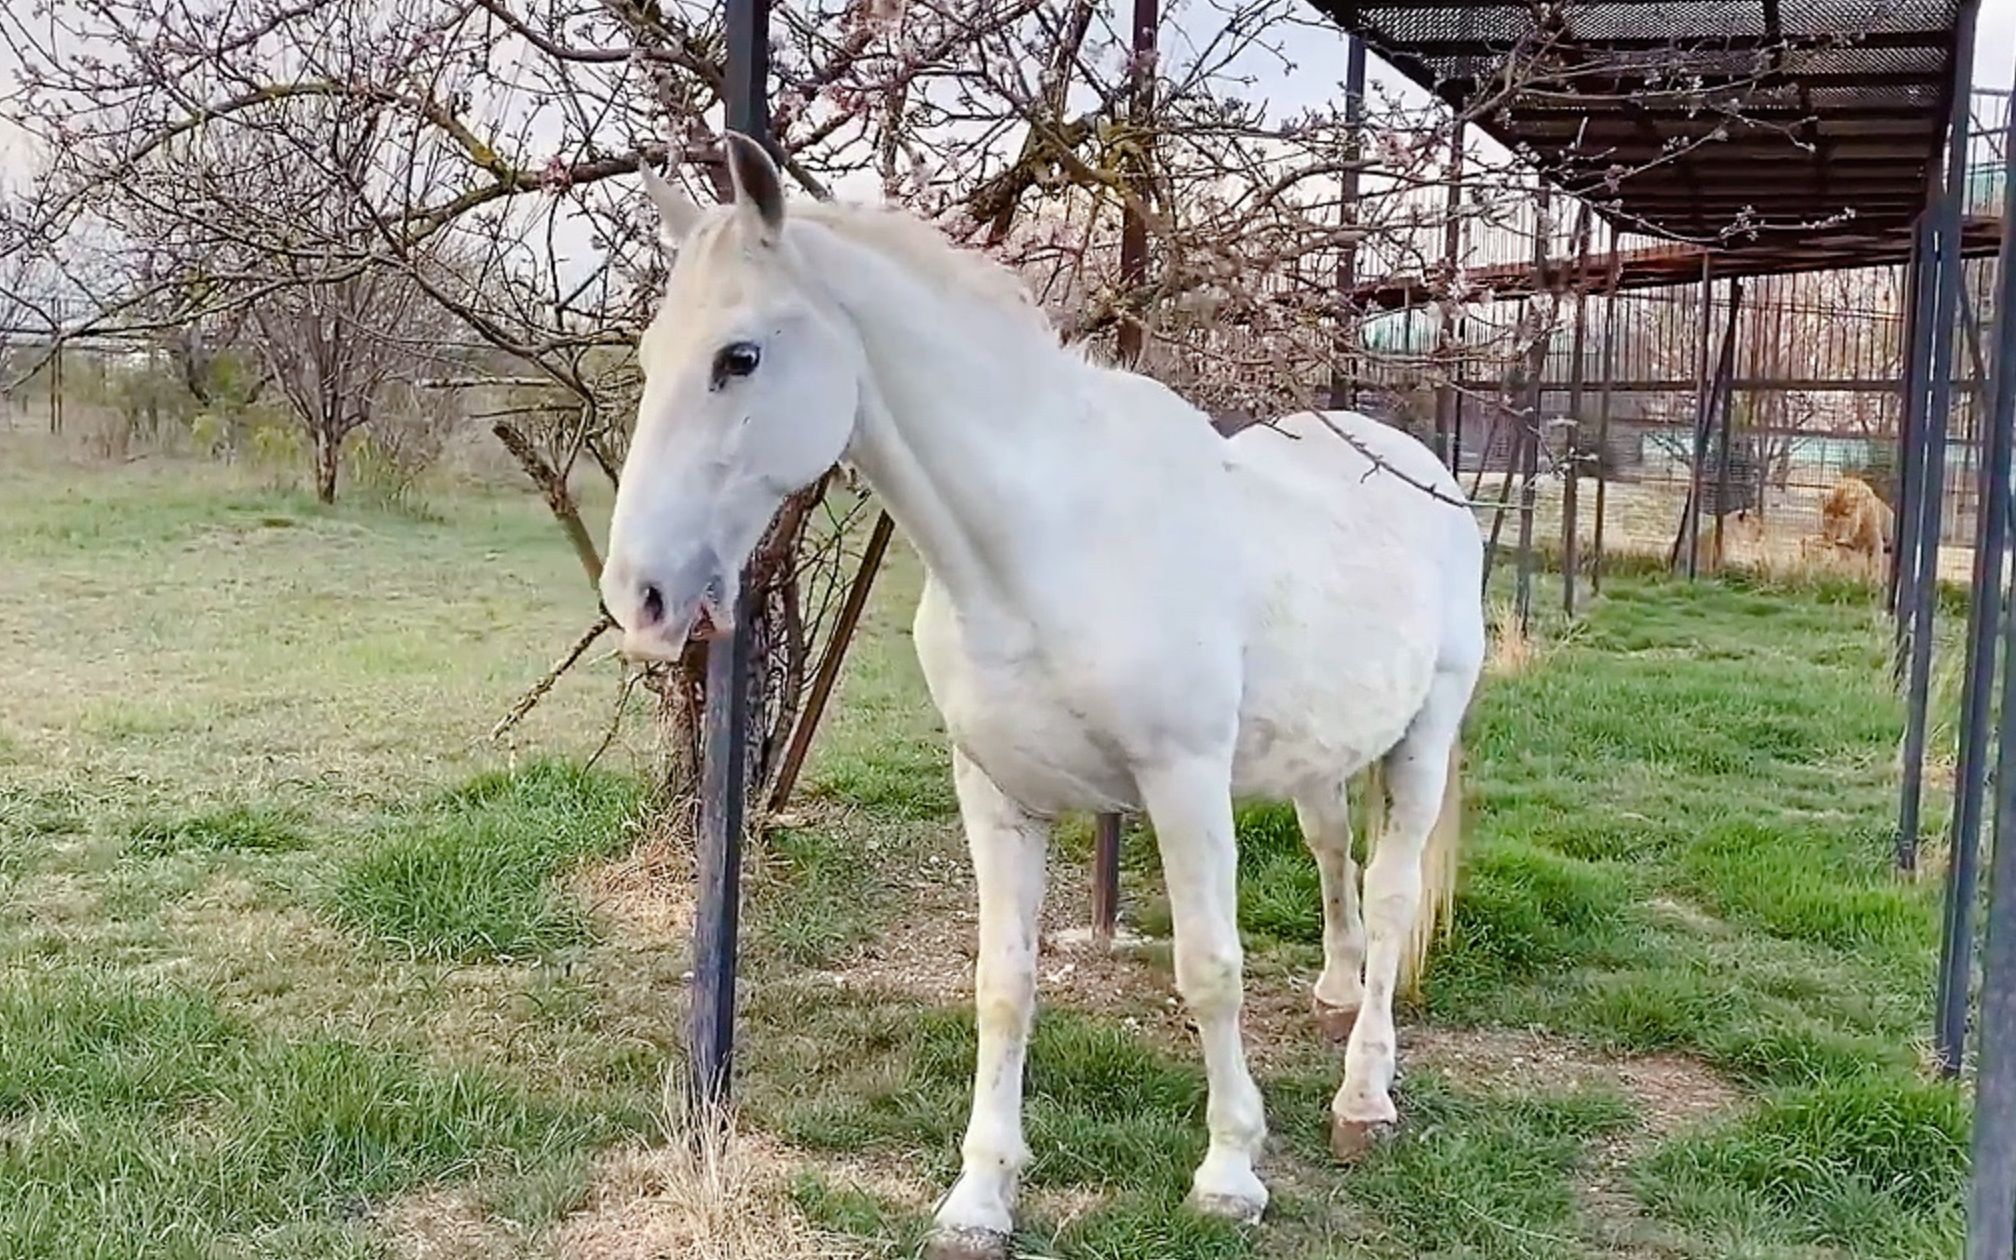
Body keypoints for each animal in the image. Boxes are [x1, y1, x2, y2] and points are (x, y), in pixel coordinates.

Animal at [600, 134, 1485, 1259]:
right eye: (648, 358)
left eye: (739, 357)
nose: (640, 596)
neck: (1044, 547)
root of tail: (1422, 471)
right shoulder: (996, 794)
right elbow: (1004, 985)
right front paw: (980, 1196)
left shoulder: (1184, 784)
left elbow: (1210, 968)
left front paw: (1230, 1173)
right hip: (1318, 754)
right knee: (1336, 856)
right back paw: (1333, 997)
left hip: (1425, 735)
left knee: (1396, 887)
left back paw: (1364, 1096)